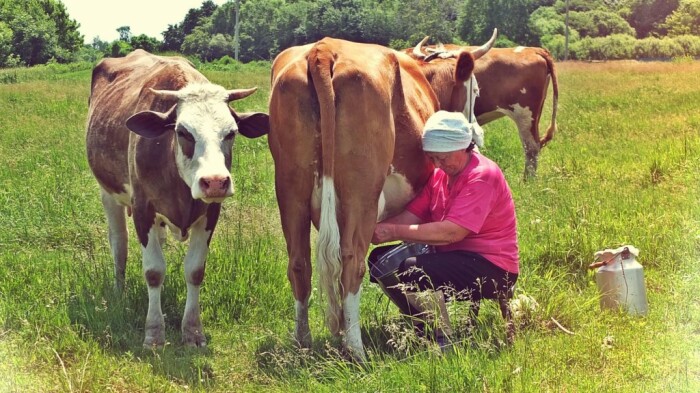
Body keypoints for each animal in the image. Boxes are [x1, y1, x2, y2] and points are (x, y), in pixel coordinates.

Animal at [82, 48, 268, 346]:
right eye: (183, 132)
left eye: (231, 133)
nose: (215, 182)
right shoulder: (143, 208)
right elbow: (153, 270)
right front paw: (154, 331)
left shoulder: (210, 213)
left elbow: (194, 270)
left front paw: (192, 330)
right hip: (108, 194)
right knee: (119, 244)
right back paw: (119, 291)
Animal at [266, 35, 492, 360]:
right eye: (475, 90)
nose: (478, 137)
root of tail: (324, 49)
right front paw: (437, 327)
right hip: (361, 195)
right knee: (352, 263)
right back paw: (356, 351)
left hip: (290, 189)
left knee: (299, 264)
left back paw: (303, 343)